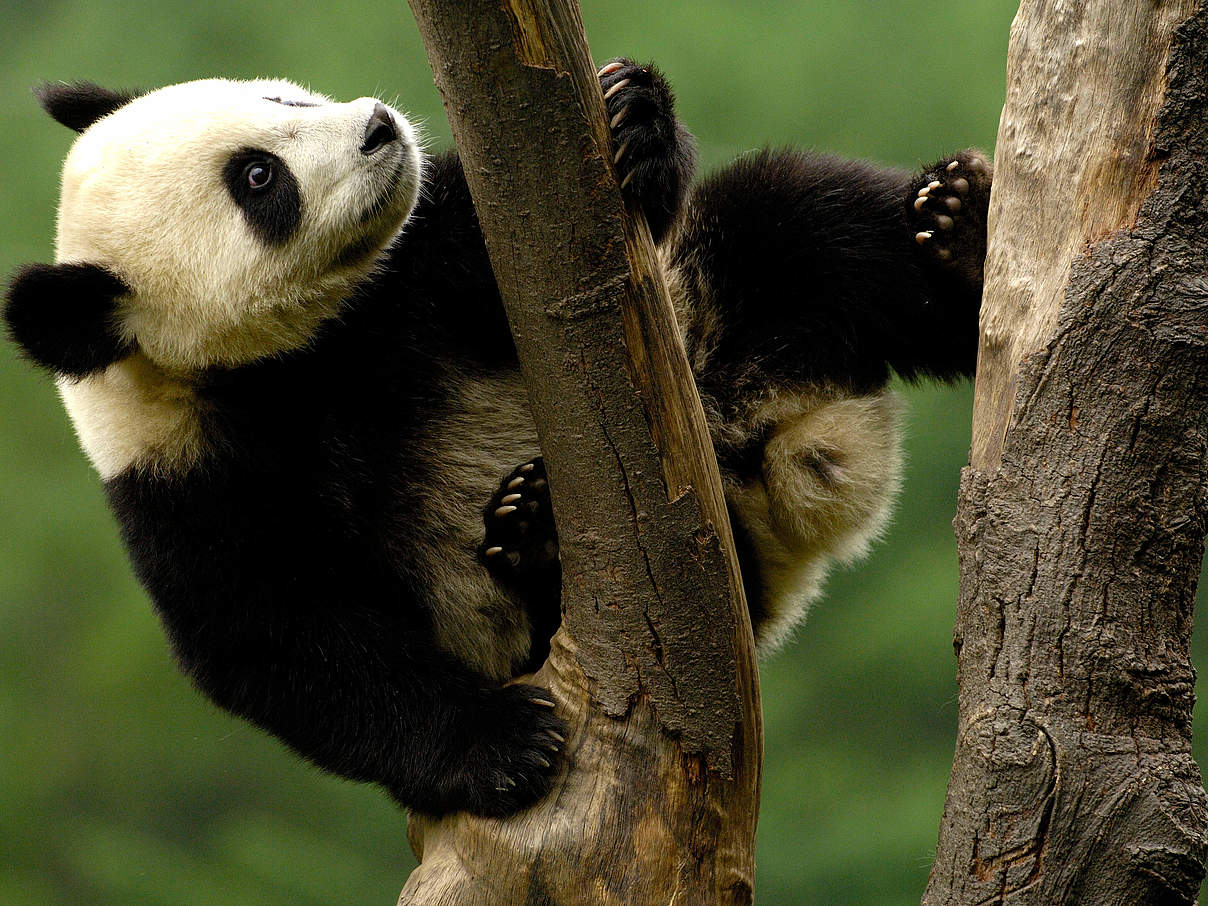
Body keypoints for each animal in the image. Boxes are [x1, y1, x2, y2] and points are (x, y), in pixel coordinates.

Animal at [4, 60, 990, 821]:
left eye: (277, 98)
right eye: (258, 180)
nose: (379, 129)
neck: (304, 354)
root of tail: (781, 458)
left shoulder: (416, 269)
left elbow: (518, 245)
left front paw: (631, 117)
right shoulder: (194, 477)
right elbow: (277, 639)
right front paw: (505, 746)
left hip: (704, 304)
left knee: (802, 224)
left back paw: (961, 240)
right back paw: (535, 534)